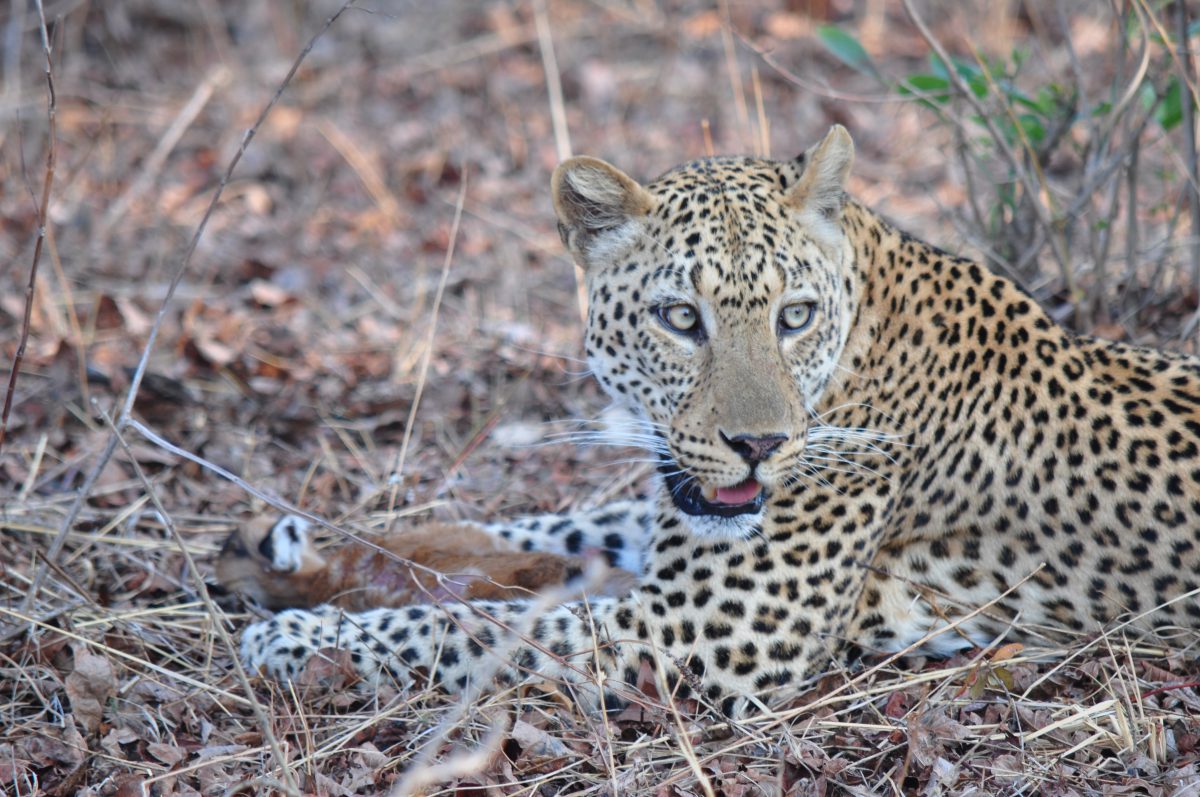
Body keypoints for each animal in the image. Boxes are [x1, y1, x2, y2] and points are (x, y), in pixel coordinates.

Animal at [241, 126, 1200, 715]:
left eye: (794, 315)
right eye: (680, 318)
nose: (759, 445)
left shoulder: (701, 627)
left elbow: (471, 629)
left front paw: (292, 636)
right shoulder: (679, 525)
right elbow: (551, 526)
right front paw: (319, 548)